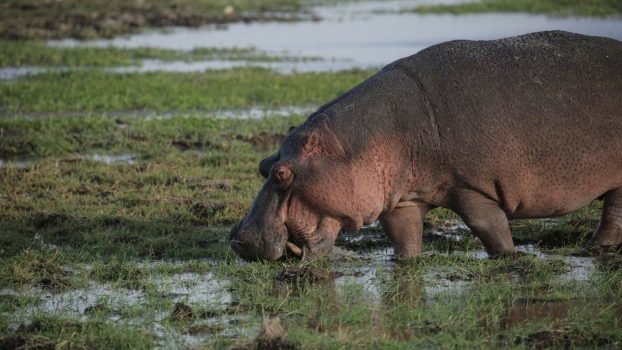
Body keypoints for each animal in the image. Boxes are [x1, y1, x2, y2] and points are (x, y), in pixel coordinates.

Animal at [229, 30, 622, 260]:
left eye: (282, 173)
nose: (239, 239)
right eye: (262, 165)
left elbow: (489, 227)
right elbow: (403, 238)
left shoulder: (471, 187)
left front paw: (510, 258)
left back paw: (593, 249)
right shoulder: (402, 200)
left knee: (613, 212)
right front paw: (405, 262)